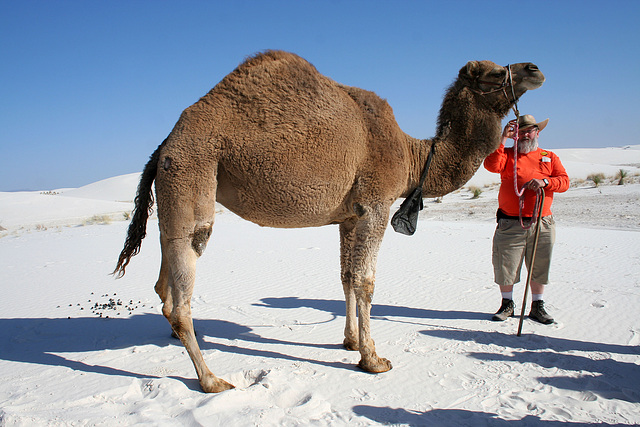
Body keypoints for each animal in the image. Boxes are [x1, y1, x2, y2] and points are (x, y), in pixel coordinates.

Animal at [112, 48, 544, 392]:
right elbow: (367, 281)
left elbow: (347, 277)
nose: (535, 67)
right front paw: (373, 359)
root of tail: (165, 143)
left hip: (176, 181)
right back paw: (211, 379)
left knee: (164, 280)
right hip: (193, 167)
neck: (411, 155)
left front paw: (350, 342)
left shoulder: (349, 217)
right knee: (185, 273)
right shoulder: (376, 203)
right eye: (493, 73)